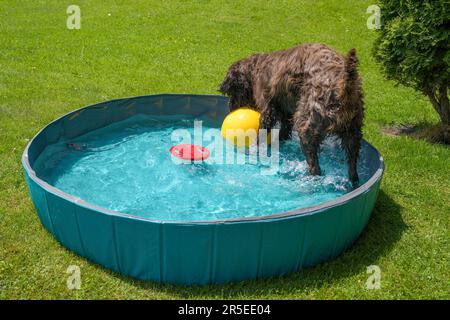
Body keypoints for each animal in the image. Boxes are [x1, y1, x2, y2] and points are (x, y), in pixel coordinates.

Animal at [219, 42, 366, 188]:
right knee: (352, 163)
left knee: (314, 166)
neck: (256, 67)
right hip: (352, 131)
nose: (230, 108)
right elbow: (284, 130)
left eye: (231, 92)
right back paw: (354, 182)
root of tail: (344, 83)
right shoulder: (285, 112)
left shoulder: (268, 109)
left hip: (309, 125)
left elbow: (262, 132)